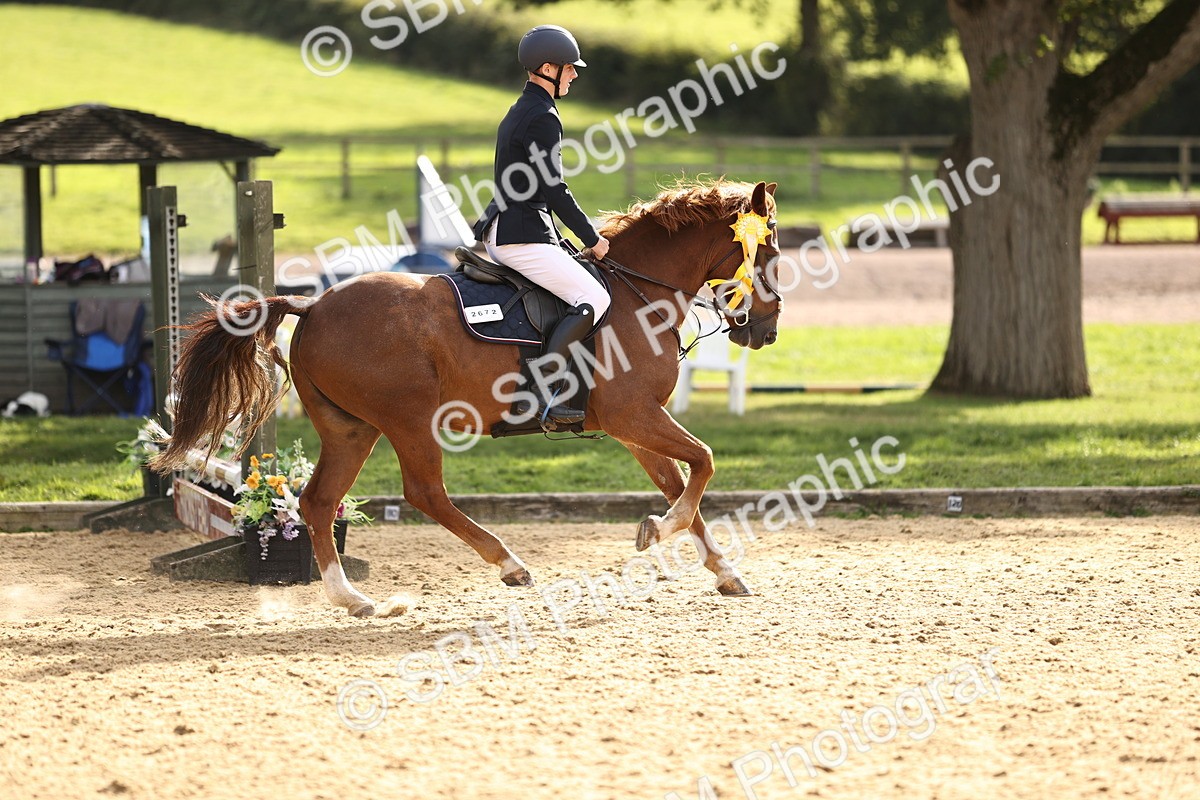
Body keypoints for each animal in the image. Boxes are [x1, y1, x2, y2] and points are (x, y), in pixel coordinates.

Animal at [151, 179, 783, 617]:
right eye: (771, 251)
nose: (767, 330)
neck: (635, 293)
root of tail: (312, 305)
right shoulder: (634, 414)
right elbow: (703, 465)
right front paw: (658, 528)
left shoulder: (633, 424)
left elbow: (683, 484)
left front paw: (723, 572)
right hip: (408, 420)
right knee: (424, 492)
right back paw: (510, 565)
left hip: (351, 428)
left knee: (319, 502)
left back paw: (352, 599)